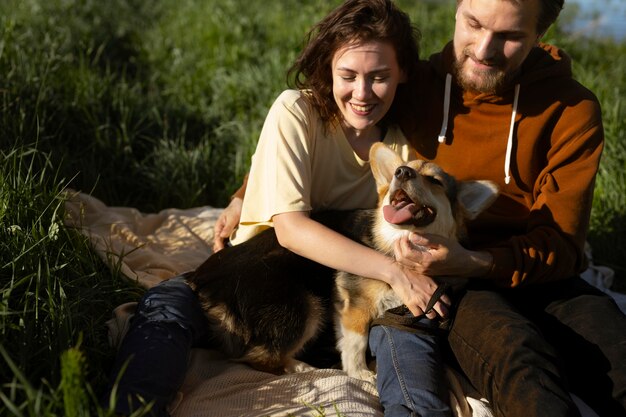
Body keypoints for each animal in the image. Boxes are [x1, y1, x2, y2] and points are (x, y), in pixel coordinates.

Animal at [183, 141, 494, 382]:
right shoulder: (354, 303)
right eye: (406, 169)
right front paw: (361, 374)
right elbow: (356, 341)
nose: (401, 172)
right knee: (259, 358)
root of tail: (201, 281)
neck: (395, 243)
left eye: (435, 181)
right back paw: (301, 367)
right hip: (304, 305)